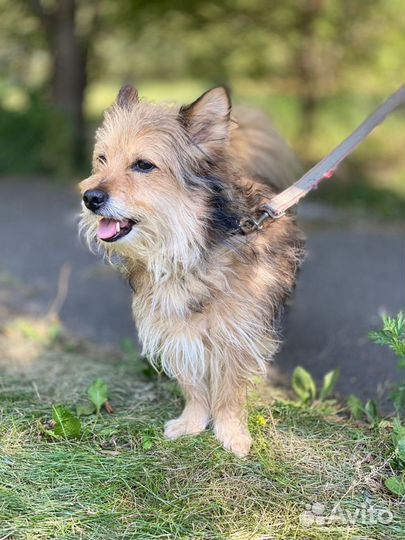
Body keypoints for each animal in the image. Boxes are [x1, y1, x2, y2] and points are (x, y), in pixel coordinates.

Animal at [79, 84, 304, 456]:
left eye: (144, 165)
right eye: (102, 159)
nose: (90, 197)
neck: (184, 249)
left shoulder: (236, 332)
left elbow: (229, 389)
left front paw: (231, 433)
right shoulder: (173, 326)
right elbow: (192, 380)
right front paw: (193, 423)